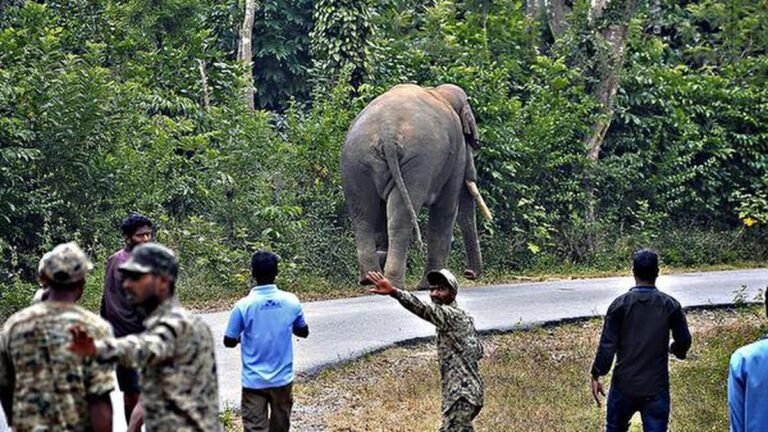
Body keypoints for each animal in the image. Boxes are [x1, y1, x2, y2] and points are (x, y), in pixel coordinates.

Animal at [341, 83, 492, 290]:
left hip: (356, 161)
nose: (468, 273)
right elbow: (445, 210)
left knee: (363, 216)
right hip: (417, 163)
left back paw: (370, 279)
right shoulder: (457, 153)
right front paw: (428, 285)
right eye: (470, 139)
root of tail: (387, 130)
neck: (440, 92)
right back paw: (393, 283)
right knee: (401, 217)